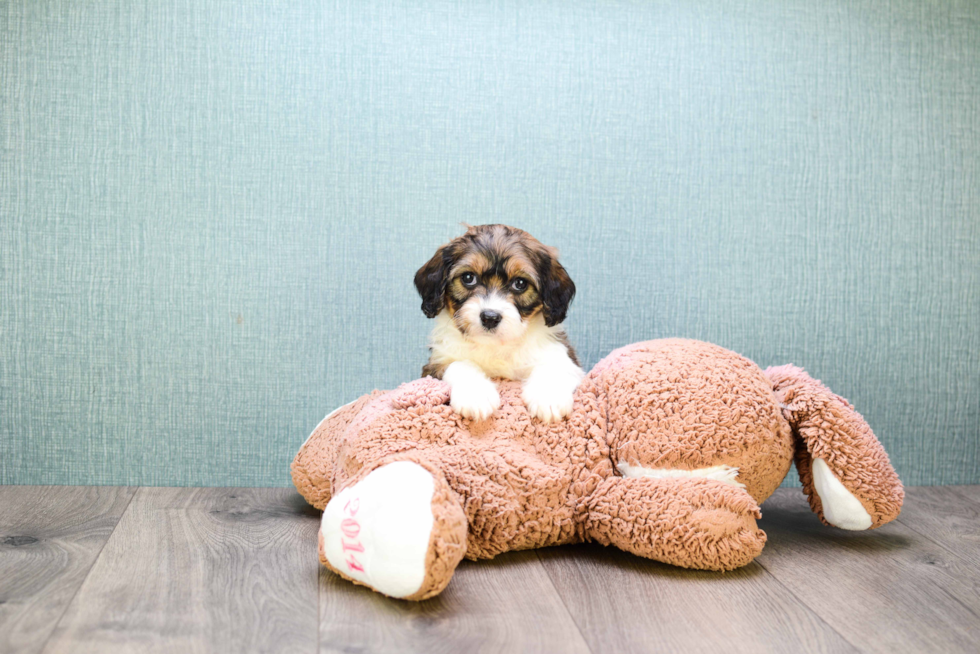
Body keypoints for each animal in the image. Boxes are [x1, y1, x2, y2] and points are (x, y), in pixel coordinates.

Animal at [412, 223, 580, 422]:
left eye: (520, 283)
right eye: (468, 278)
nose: (490, 317)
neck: (495, 345)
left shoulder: (563, 356)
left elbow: (554, 366)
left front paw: (549, 397)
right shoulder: (434, 365)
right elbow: (458, 364)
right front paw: (476, 397)